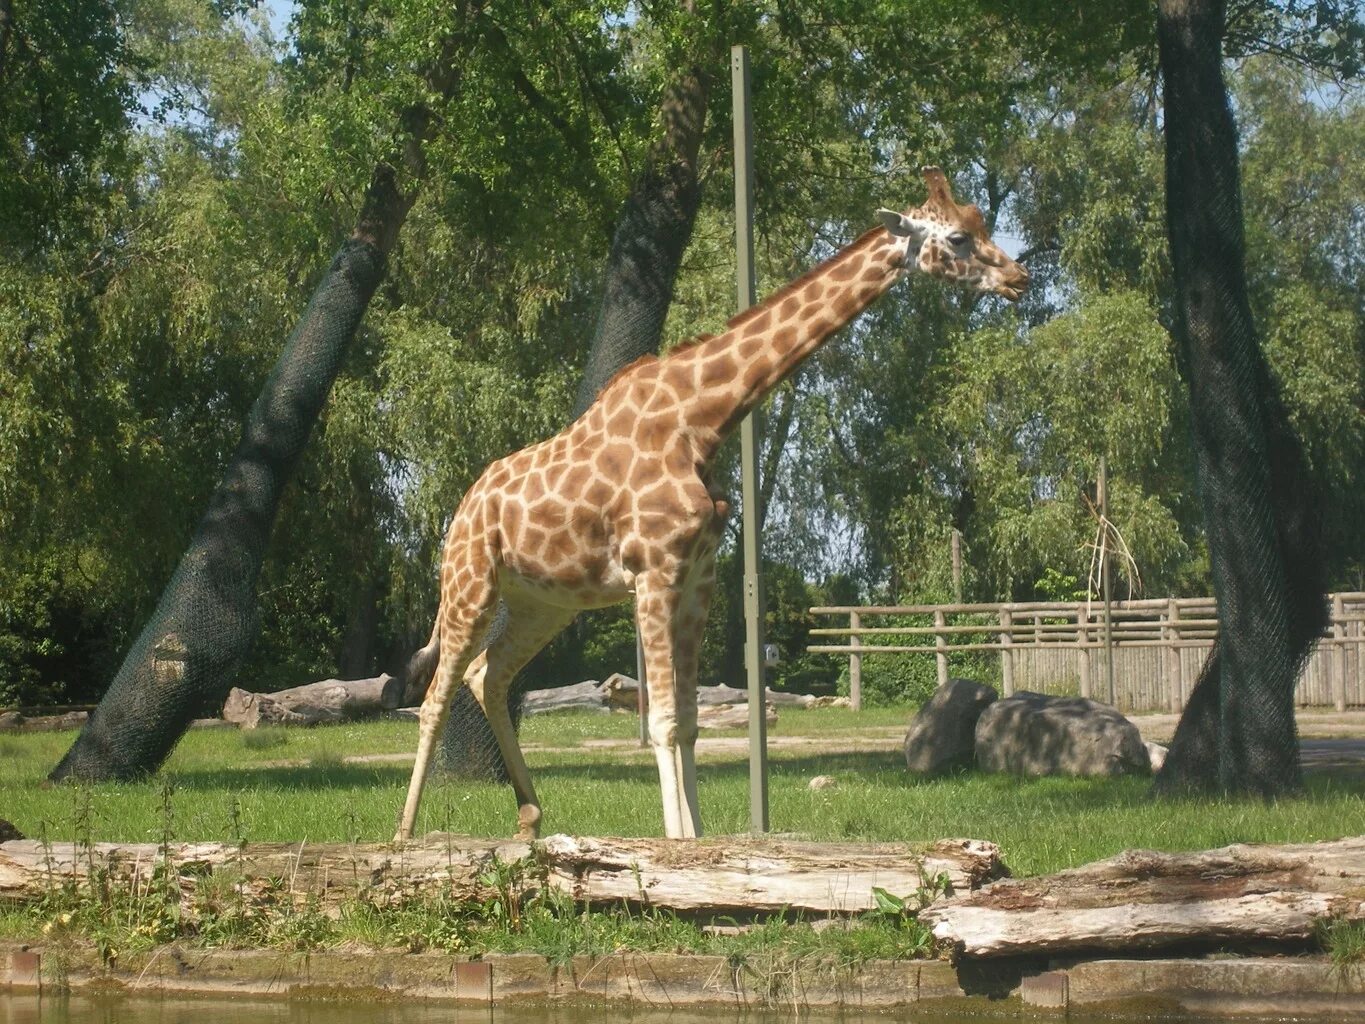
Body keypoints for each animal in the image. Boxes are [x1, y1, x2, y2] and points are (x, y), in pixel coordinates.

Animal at [393, 166, 1026, 841]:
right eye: (958, 237)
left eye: (982, 224)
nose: (1019, 279)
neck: (703, 421)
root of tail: (461, 510)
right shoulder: (655, 570)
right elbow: (664, 721)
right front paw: (676, 846)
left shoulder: (699, 575)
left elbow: (691, 722)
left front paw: (696, 843)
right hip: (470, 586)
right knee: (435, 696)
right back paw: (404, 834)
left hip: (547, 603)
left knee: (488, 675)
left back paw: (530, 817)